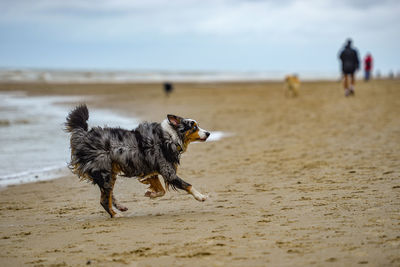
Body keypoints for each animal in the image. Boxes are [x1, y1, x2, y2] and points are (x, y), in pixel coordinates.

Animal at [65, 104, 209, 218]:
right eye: (194, 127)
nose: (208, 133)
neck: (171, 137)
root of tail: (84, 137)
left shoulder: (151, 171)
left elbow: (161, 191)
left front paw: (150, 193)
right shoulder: (168, 172)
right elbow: (188, 185)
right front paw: (200, 196)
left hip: (110, 174)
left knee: (109, 195)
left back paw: (120, 207)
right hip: (105, 173)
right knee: (104, 200)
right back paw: (115, 215)